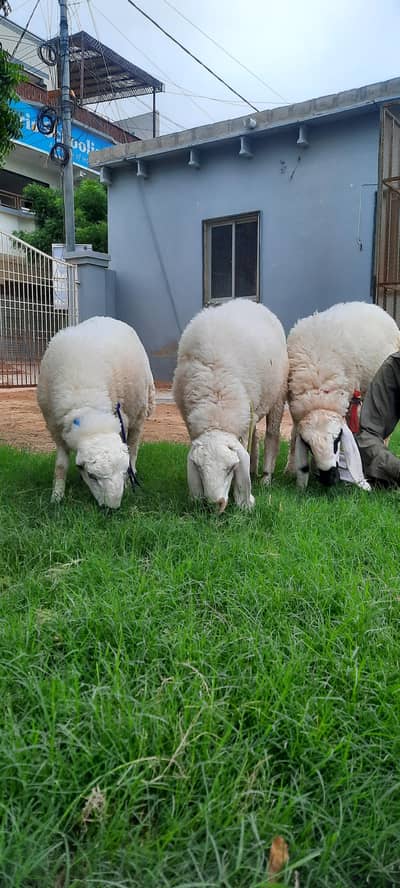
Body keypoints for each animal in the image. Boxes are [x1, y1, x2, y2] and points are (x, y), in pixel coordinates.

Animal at [37, 316, 155, 508]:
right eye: (92, 476)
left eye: (123, 470)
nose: (112, 508)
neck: (85, 402)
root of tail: (109, 318)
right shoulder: (55, 427)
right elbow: (61, 466)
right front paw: (56, 497)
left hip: (138, 411)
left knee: (134, 447)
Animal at [172, 298, 288, 511]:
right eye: (199, 469)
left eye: (230, 468)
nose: (216, 504)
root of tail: (247, 301)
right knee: (255, 438)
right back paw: (253, 469)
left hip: (278, 394)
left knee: (271, 435)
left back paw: (266, 477)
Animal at [286, 301, 400, 488]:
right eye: (308, 446)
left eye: (337, 440)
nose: (329, 479)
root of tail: (373, 306)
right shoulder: (296, 408)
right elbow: (294, 434)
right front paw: (291, 469)